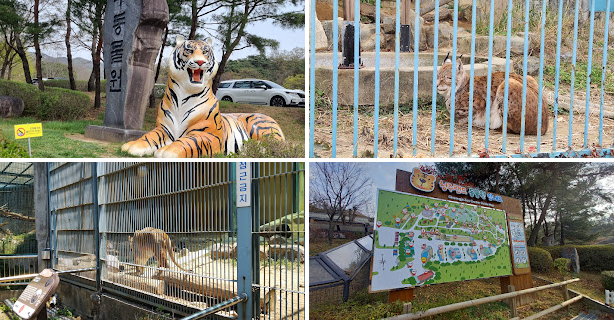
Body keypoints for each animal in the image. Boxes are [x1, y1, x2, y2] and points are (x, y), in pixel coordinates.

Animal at [122, 36, 286, 156]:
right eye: (189, 50)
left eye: (206, 51)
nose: (200, 61)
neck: (183, 96)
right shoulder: (163, 129)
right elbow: (148, 136)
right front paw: (132, 146)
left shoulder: (207, 134)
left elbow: (187, 142)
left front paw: (167, 151)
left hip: (261, 127)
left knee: (279, 147)